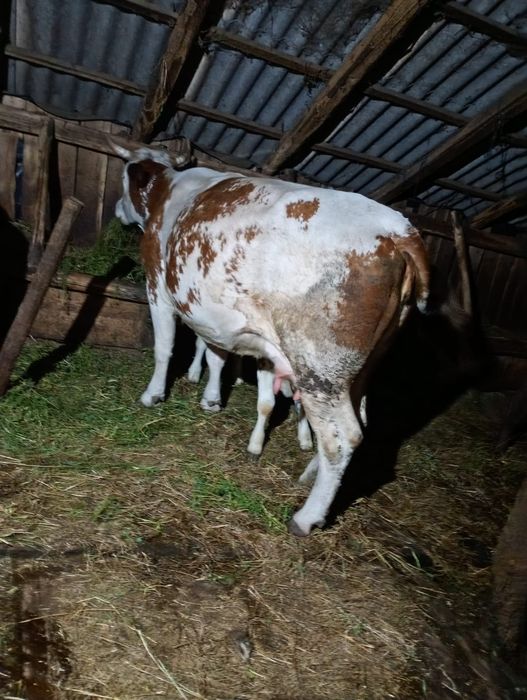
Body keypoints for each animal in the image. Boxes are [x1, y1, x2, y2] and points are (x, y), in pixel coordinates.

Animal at [112, 144, 430, 537]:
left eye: (123, 175)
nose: (116, 209)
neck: (166, 192)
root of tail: (399, 230)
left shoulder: (157, 284)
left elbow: (164, 347)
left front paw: (153, 394)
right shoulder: (214, 316)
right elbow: (216, 356)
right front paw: (211, 398)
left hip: (319, 367)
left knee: (342, 436)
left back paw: (307, 516)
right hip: (361, 365)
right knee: (360, 421)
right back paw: (310, 476)